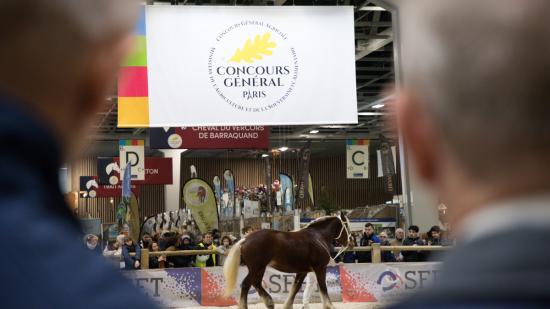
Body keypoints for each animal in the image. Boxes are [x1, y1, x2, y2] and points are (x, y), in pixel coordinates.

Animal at [224, 213, 354, 308]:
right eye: (346, 226)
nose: (350, 242)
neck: (318, 237)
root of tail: (245, 239)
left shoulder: (302, 271)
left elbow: (295, 288)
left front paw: (287, 306)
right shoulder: (320, 268)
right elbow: (323, 288)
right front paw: (329, 306)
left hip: (260, 269)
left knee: (256, 283)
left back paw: (270, 302)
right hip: (256, 268)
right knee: (246, 284)